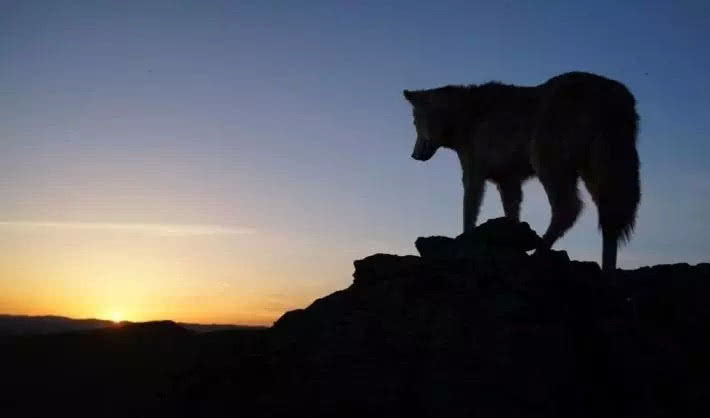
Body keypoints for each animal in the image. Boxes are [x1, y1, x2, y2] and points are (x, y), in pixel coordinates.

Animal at [404, 72, 644, 274]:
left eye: (415, 122)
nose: (413, 156)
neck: (465, 115)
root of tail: (616, 94)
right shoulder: (507, 180)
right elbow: (512, 212)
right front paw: (513, 238)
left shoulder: (474, 175)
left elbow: (468, 213)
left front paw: (465, 240)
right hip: (597, 176)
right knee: (609, 218)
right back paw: (607, 270)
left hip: (549, 165)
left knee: (569, 209)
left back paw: (540, 252)